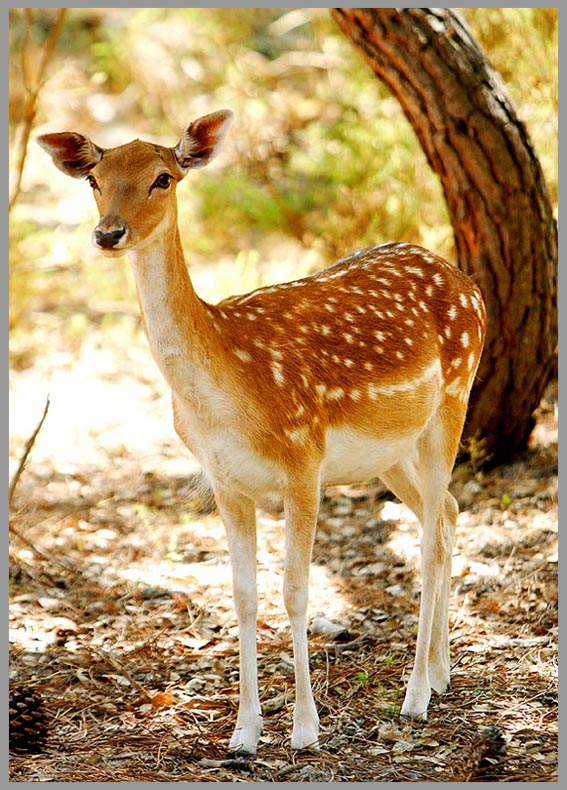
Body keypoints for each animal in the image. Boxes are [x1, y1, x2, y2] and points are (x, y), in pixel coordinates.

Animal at [37, 110, 486, 756]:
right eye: (95, 179)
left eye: (163, 178)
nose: (108, 233)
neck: (227, 395)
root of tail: (468, 281)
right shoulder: (225, 480)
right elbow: (243, 597)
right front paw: (244, 734)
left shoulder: (304, 458)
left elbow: (295, 591)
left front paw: (304, 730)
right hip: (391, 452)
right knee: (446, 511)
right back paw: (442, 671)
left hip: (453, 400)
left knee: (429, 539)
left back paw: (416, 697)